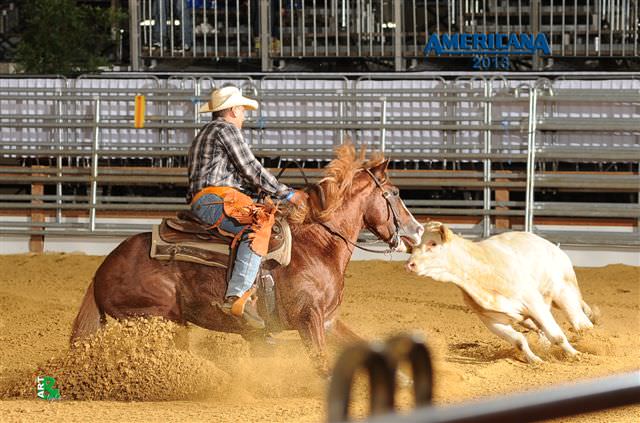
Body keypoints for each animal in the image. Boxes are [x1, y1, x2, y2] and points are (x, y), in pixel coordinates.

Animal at [70, 147, 422, 374]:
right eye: (395, 193)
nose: (417, 230)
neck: (318, 245)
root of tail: (104, 268)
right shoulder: (308, 319)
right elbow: (322, 363)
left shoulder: (328, 321)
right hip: (155, 319)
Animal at [408, 222, 596, 364]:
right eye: (413, 246)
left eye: (433, 243)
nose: (410, 264)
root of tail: (554, 248)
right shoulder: (491, 320)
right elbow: (519, 341)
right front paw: (534, 360)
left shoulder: (534, 304)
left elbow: (557, 336)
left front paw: (576, 355)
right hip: (528, 317)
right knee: (540, 329)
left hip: (564, 293)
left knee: (581, 323)